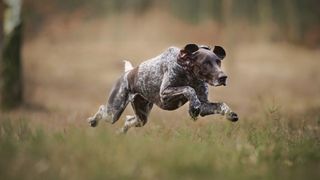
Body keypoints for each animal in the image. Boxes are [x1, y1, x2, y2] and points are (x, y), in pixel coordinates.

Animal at [87, 43, 238, 133]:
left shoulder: (205, 105)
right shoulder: (165, 94)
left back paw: (120, 133)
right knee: (102, 109)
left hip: (142, 118)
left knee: (128, 120)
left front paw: (230, 114)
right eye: (206, 63)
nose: (223, 77)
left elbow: (221, 105)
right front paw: (193, 106)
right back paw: (93, 121)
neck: (189, 73)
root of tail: (127, 73)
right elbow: (189, 89)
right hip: (113, 112)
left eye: (218, 62)